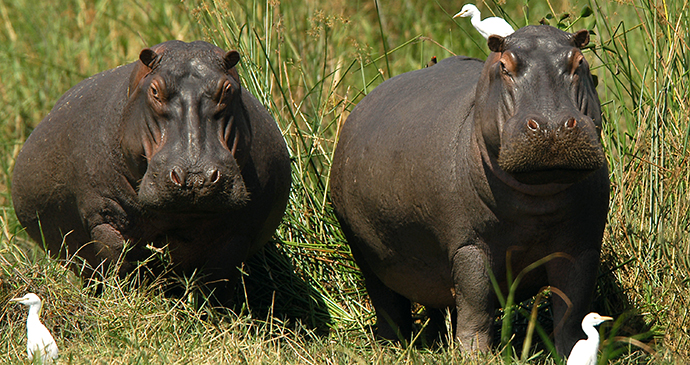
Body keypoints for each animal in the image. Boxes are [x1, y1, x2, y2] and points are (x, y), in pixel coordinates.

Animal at [12, 39, 290, 304]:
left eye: (227, 89)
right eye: (155, 90)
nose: (196, 177)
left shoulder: (236, 234)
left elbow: (217, 286)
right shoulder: (105, 216)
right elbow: (117, 264)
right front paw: (121, 302)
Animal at [330, 26, 604, 356]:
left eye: (579, 61)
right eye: (504, 66)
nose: (553, 126)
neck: (539, 198)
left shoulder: (581, 246)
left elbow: (572, 307)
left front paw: (572, 353)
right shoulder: (469, 246)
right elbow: (476, 303)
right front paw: (475, 355)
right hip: (364, 252)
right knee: (387, 303)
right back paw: (392, 346)